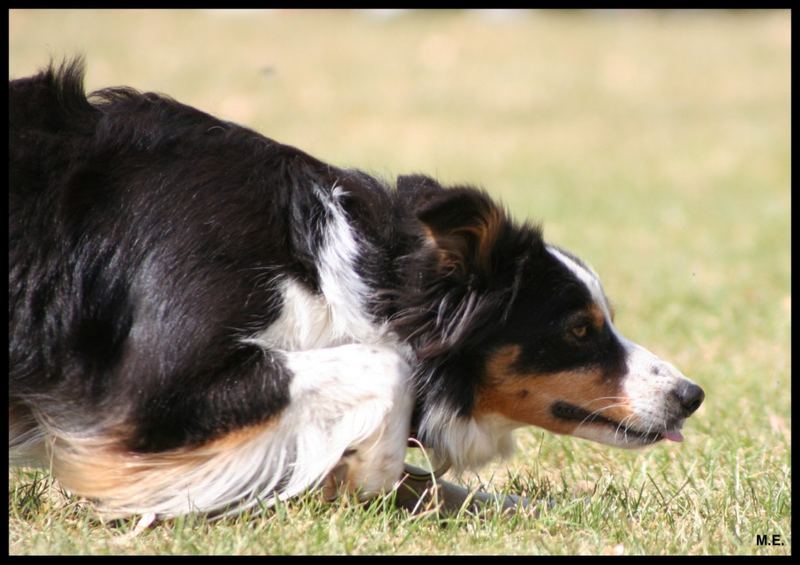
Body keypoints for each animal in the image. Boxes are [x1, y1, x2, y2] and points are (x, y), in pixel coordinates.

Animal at [9, 60, 704, 516]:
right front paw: (362, 474)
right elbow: (385, 370)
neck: (338, 272)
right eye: (579, 330)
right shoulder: (149, 389)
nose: (691, 396)